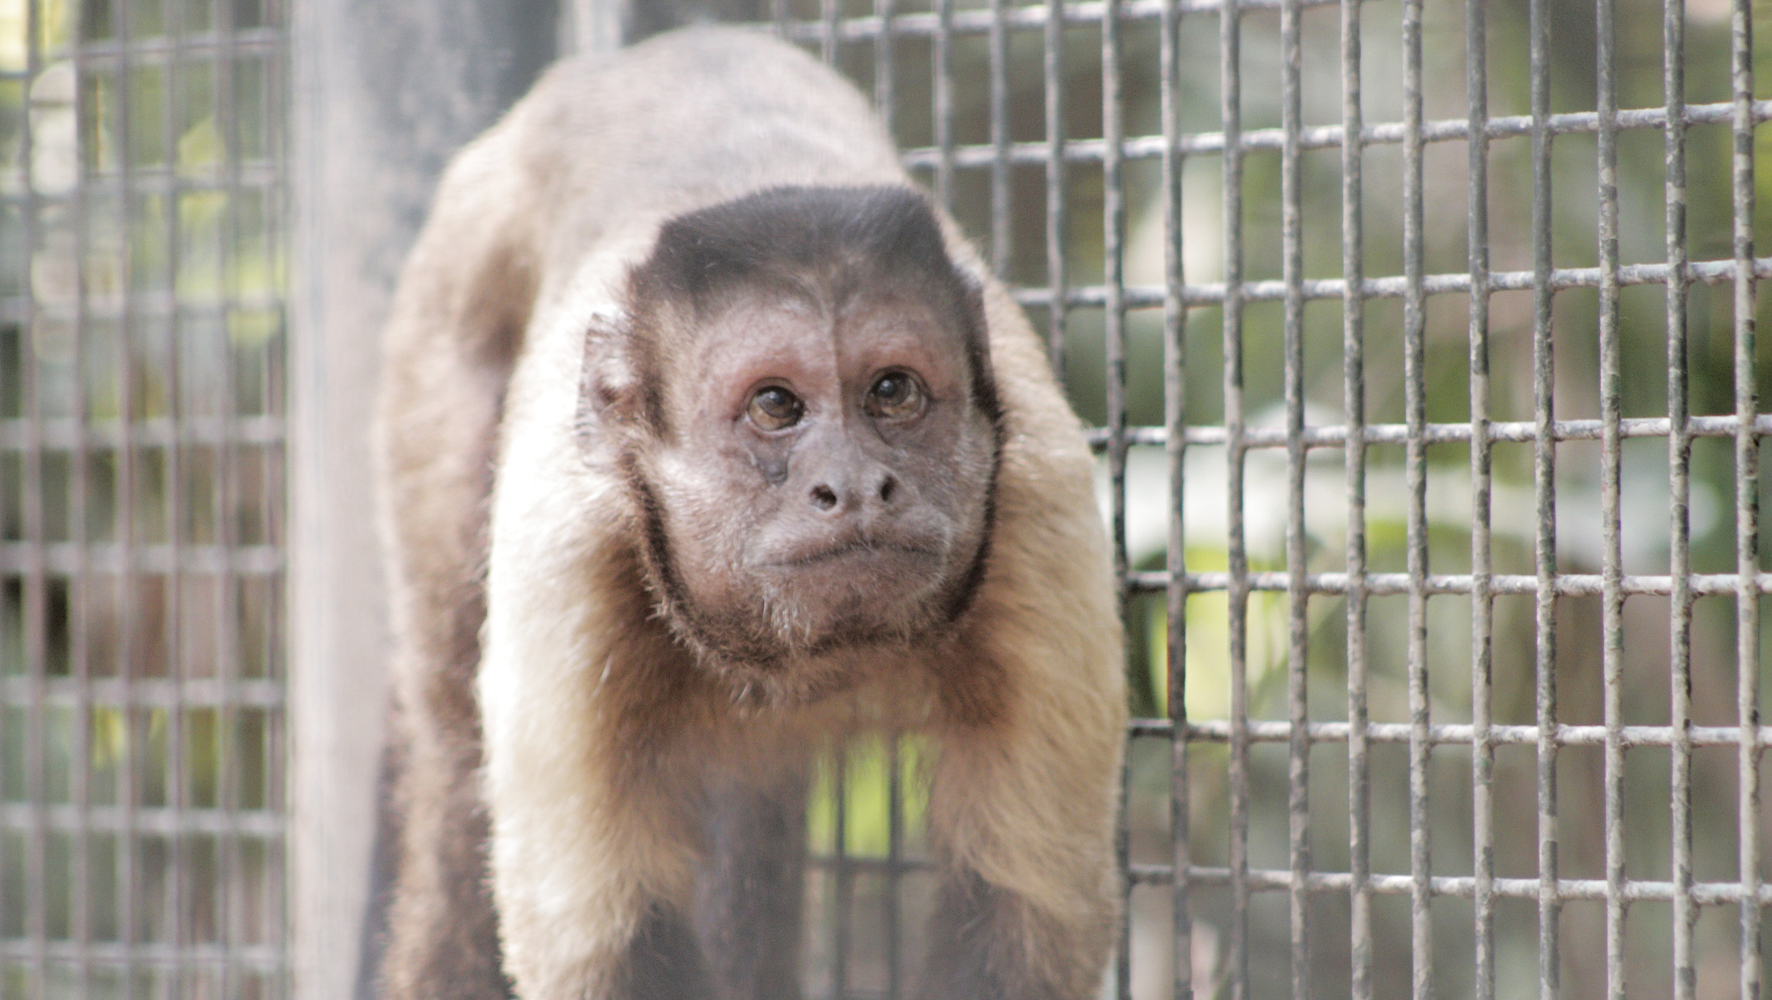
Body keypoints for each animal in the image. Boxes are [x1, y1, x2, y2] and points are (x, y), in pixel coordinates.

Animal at [373, 23, 1126, 1000]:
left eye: (893, 392)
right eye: (776, 406)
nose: (855, 484)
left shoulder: (1044, 511)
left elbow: (1019, 914)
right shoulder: (563, 557)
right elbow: (608, 944)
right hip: (441, 319)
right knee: (448, 750)